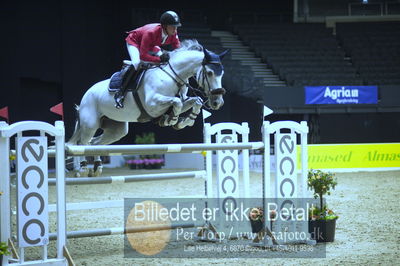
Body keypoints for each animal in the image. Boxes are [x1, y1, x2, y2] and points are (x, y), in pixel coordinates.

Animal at [66, 39, 228, 177]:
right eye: (209, 73)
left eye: (222, 73)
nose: (217, 103)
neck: (173, 75)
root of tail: (85, 98)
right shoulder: (152, 104)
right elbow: (177, 102)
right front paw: (172, 120)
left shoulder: (181, 101)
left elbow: (196, 102)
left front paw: (184, 122)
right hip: (90, 124)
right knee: (81, 143)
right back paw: (82, 169)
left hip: (116, 130)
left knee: (94, 143)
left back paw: (97, 167)